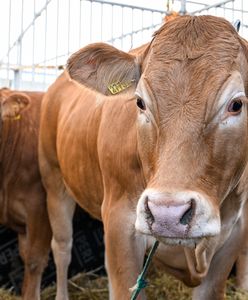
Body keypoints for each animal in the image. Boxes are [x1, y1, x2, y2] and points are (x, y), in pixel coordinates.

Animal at [39, 15, 248, 298]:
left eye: (236, 105)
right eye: (140, 102)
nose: (167, 214)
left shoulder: (234, 236)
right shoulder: (120, 224)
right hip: (53, 181)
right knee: (62, 247)